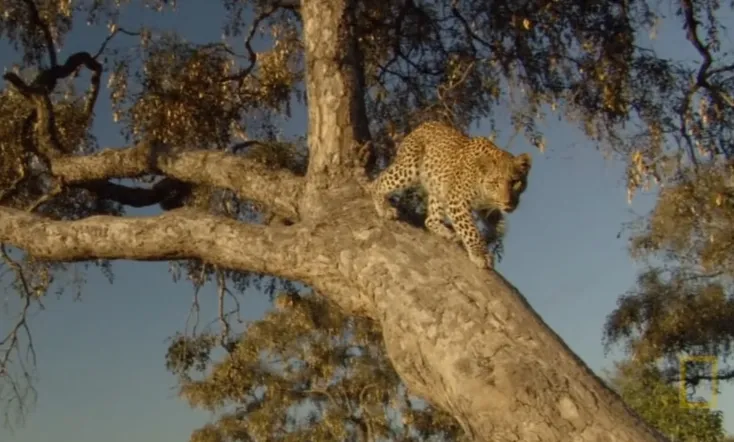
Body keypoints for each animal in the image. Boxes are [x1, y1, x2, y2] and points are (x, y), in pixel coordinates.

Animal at [370, 121, 532, 269]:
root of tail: (424, 125)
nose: (508, 203)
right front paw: (481, 254)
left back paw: (445, 232)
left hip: (438, 189)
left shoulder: (486, 206)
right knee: (380, 181)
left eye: (515, 182)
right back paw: (384, 208)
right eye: (495, 183)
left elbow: (500, 228)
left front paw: (489, 237)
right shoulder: (457, 201)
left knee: (430, 220)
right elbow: (471, 230)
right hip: (409, 168)